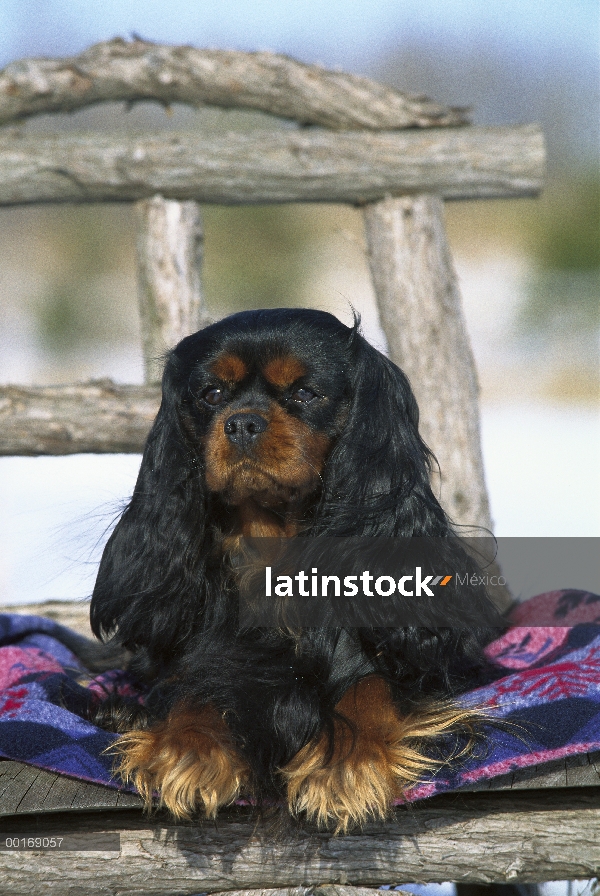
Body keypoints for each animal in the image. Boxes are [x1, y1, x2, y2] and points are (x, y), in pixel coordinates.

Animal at [90, 310, 502, 832]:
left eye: (305, 394)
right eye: (212, 394)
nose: (242, 423)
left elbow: (371, 686)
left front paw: (345, 765)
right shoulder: (206, 660)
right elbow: (195, 688)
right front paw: (187, 750)